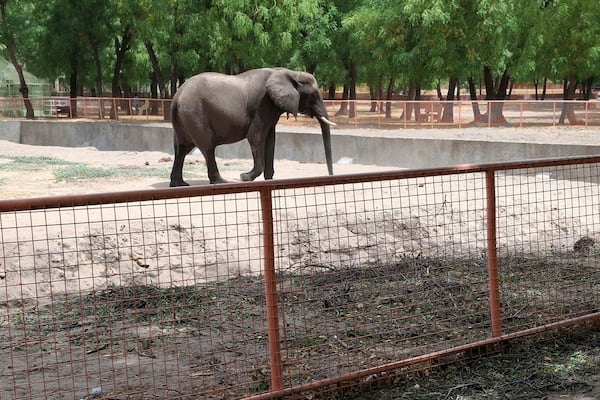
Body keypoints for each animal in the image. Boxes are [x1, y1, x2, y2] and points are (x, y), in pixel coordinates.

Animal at [169, 67, 336, 186]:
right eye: (313, 95)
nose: (330, 177)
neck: (289, 72)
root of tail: (176, 96)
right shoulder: (263, 104)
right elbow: (255, 137)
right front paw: (245, 177)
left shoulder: (271, 108)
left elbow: (270, 140)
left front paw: (269, 181)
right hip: (195, 114)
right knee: (207, 147)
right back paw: (220, 182)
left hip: (184, 117)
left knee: (181, 148)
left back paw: (180, 184)